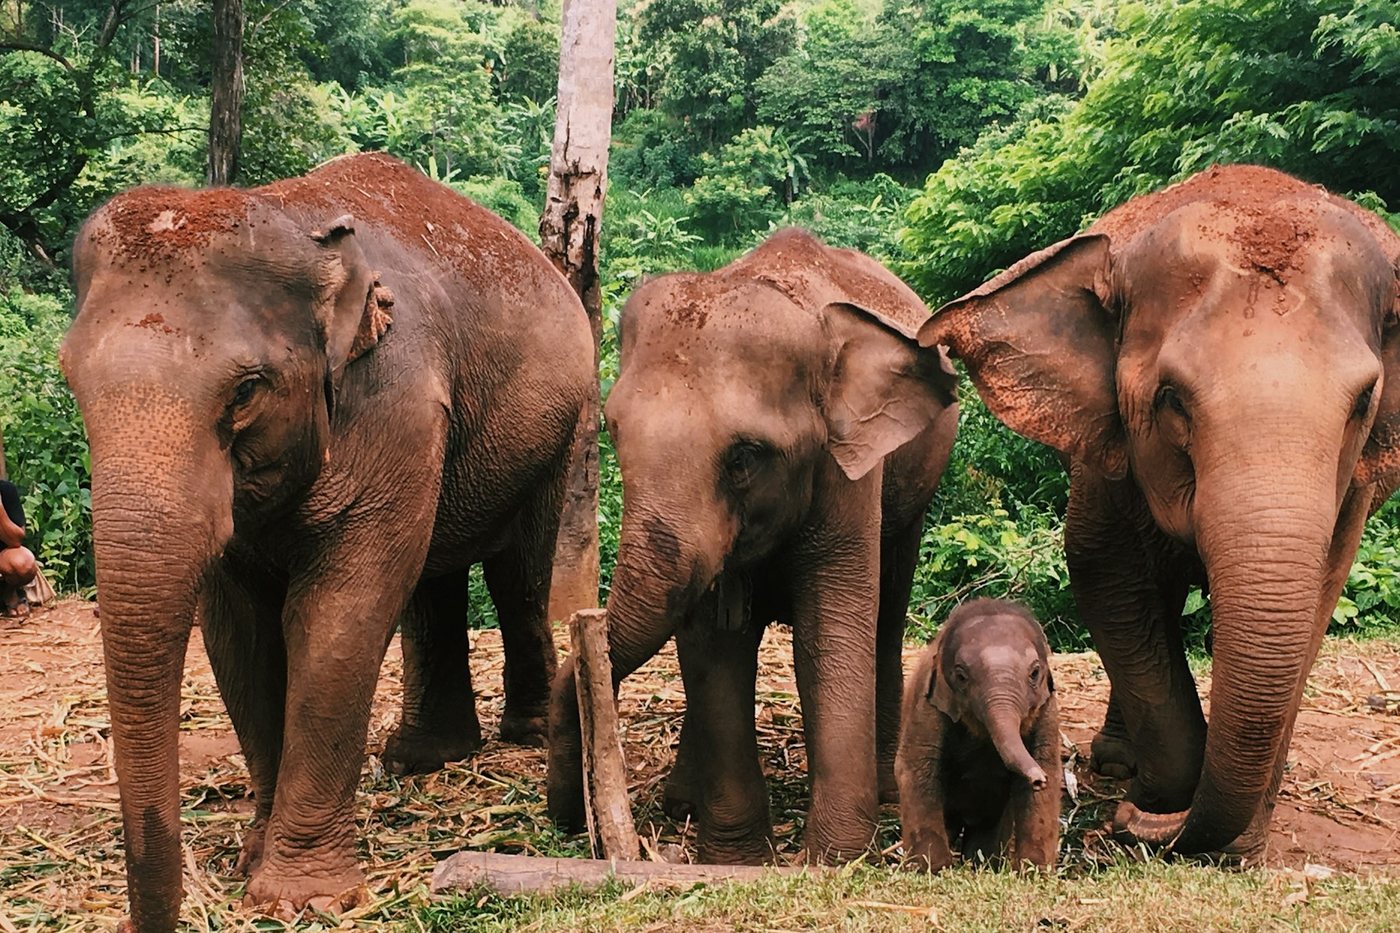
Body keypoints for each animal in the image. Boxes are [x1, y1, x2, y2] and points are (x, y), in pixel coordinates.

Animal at [60, 152, 594, 931]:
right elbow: (239, 632)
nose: (149, 918)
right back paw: (421, 758)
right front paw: (253, 861)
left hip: (560, 429)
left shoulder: (396, 398)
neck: (292, 221)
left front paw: (301, 896)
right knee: (432, 579)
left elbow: (338, 612)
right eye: (70, 380)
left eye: (246, 391)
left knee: (516, 571)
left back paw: (521, 733)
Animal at [546, 228, 960, 864]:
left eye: (744, 457)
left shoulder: (847, 474)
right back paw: (681, 804)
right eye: (614, 431)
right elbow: (713, 645)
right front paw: (739, 862)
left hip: (915, 489)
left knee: (888, 615)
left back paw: (888, 790)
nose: (568, 819)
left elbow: (830, 634)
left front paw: (832, 862)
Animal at [895, 598, 1061, 871]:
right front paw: (933, 869)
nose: (1037, 779)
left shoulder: (1047, 710)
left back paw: (982, 865)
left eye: (1035, 673)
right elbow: (917, 769)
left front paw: (1033, 871)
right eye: (961, 676)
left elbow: (1048, 769)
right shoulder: (926, 706)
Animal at [917, 164, 1400, 861]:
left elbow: (1320, 596)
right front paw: (1157, 799)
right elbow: (1106, 575)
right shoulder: (1106, 453)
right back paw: (1117, 763)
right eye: (1171, 397)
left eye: (1364, 402)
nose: (1124, 821)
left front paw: (1235, 841)